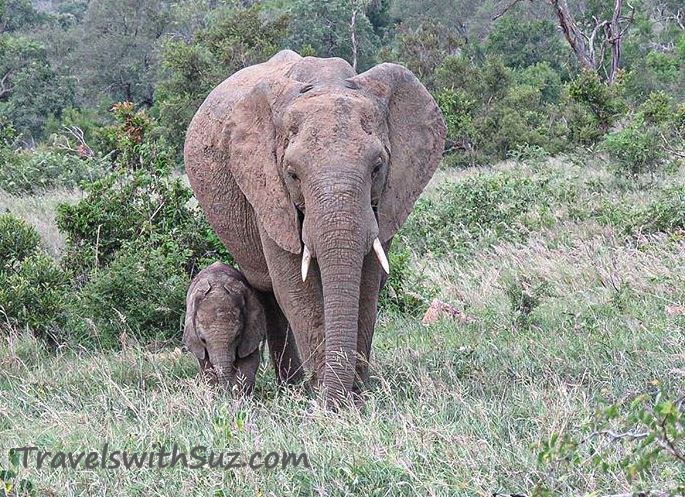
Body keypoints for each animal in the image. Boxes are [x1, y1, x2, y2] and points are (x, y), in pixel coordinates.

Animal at [182, 262, 264, 394]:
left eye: (237, 336)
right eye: (203, 340)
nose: (226, 392)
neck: (217, 287)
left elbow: (249, 363)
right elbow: (206, 367)